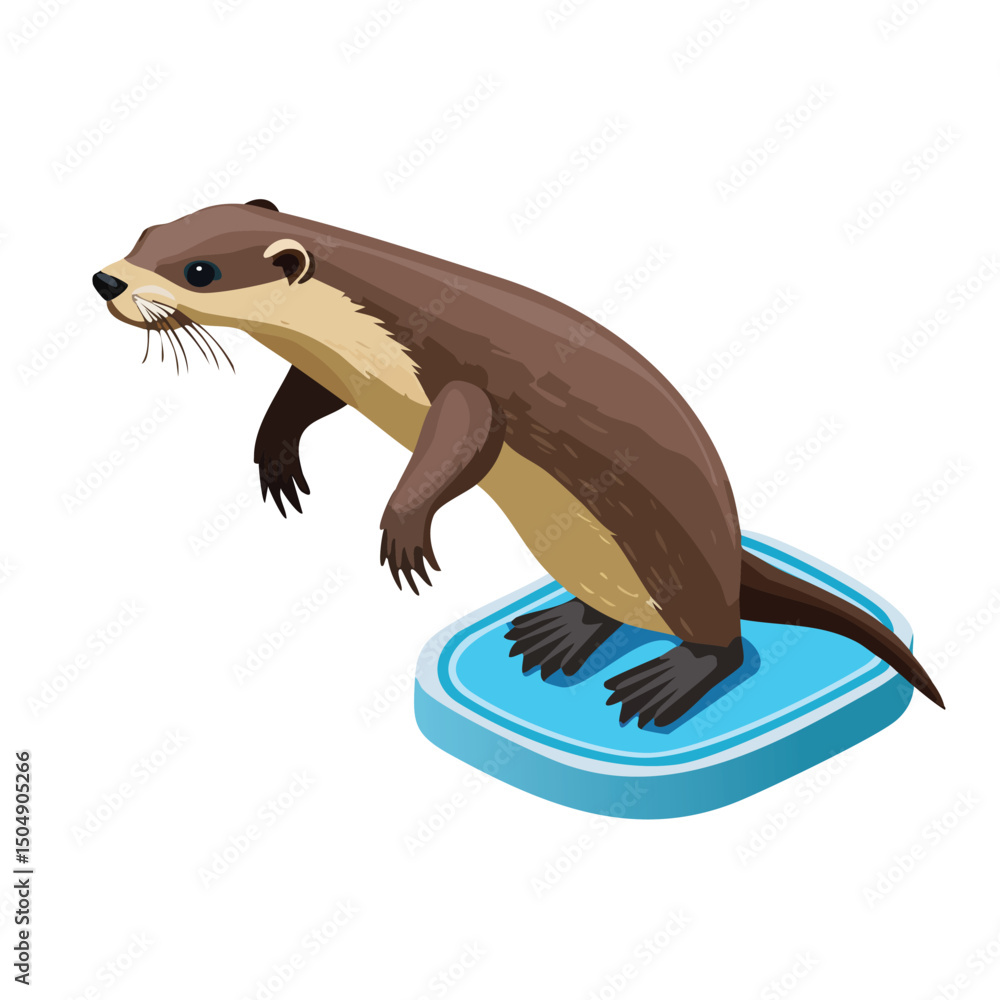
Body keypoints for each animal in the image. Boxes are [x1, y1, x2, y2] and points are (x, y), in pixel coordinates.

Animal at [93, 200, 944, 729]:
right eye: (147, 230)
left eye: (200, 270)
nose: (108, 280)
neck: (367, 329)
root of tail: (729, 546)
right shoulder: (340, 370)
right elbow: (300, 401)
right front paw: (276, 457)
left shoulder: (456, 379)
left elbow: (465, 442)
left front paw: (404, 529)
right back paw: (556, 636)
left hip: (676, 564)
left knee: (723, 640)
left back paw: (662, 684)